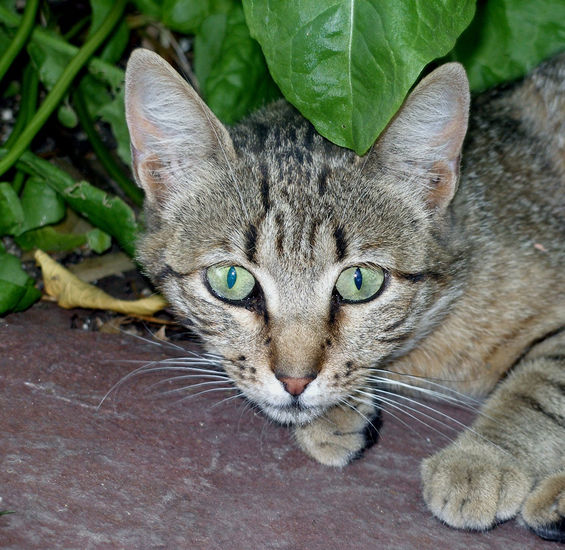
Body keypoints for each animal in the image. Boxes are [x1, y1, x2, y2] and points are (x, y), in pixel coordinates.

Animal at [124, 48, 564, 544]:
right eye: (232, 281)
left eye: (359, 283)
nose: (295, 382)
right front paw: (339, 414)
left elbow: (539, 388)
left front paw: (482, 459)